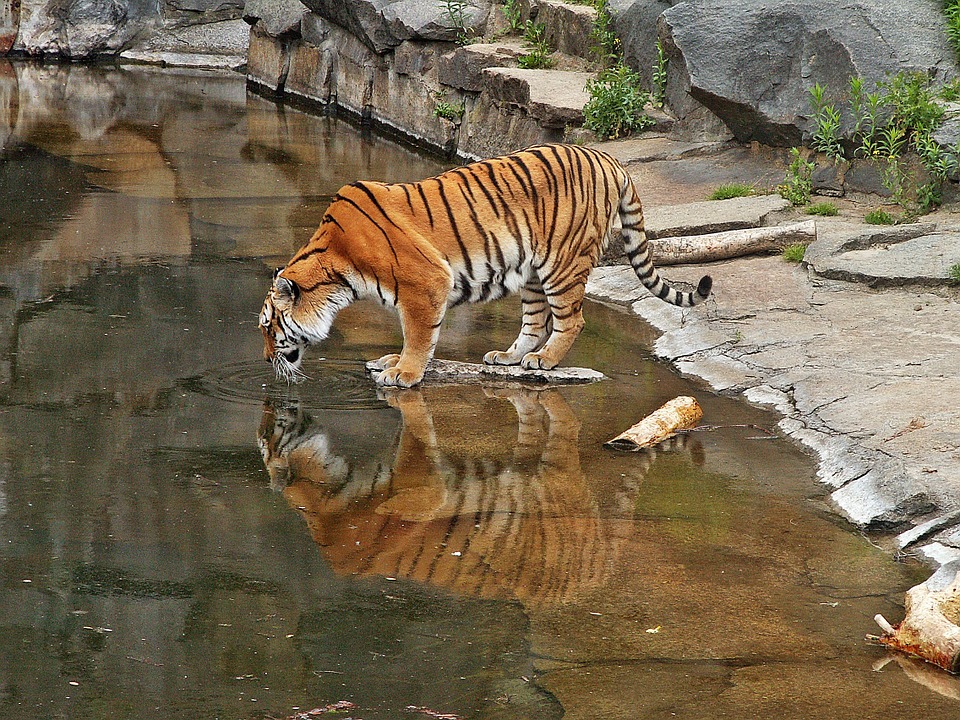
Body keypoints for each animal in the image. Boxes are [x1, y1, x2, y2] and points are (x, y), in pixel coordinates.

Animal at [258, 143, 708, 386]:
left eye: (268, 326)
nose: (264, 360)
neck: (336, 268)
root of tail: (610, 158)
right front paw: (392, 363)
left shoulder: (426, 283)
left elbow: (418, 336)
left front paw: (404, 373)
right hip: (532, 270)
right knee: (535, 321)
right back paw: (509, 357)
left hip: (563, 262)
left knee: (571, 319)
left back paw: (546, 360)